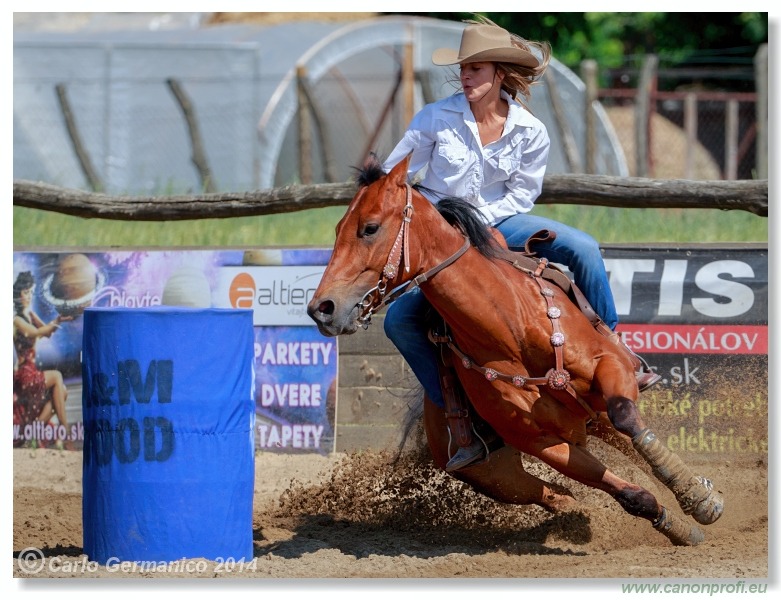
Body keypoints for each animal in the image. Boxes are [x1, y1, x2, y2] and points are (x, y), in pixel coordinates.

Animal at [308, 154, 724, 544]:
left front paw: (700, 500)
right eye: (337, 228)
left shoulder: (609, 369)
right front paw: (680, 527)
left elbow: (629, 419)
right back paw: (576, 517)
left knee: (619, 434)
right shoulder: (542, 443)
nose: (321, 308)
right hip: (499, 474)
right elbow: (631, 495)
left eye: (370, 227)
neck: (511, 328)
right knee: (553, 495)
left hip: (591, 414)